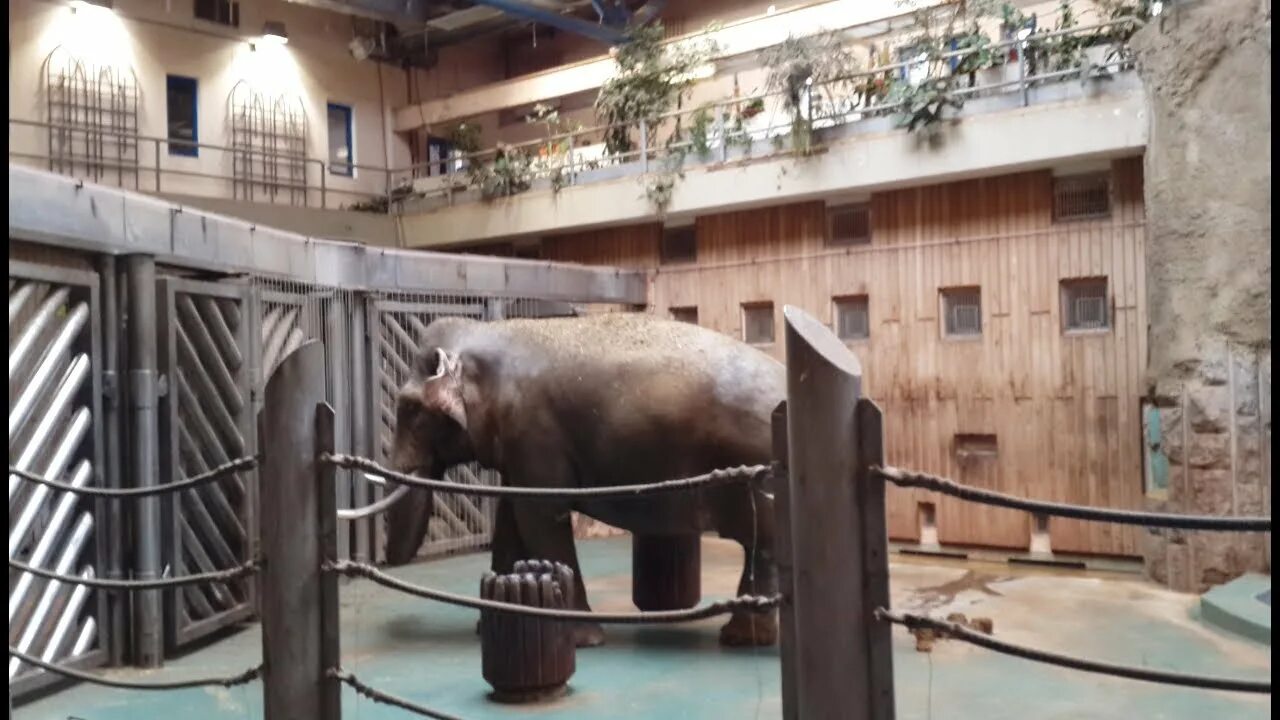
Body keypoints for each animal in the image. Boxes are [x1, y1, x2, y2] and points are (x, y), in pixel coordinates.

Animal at [381, 311, 778, 648]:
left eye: (410, 408)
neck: (488, 331)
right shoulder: (519, 446)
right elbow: (511, 519)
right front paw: (490, 625)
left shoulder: (534, 432)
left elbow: (540, 517)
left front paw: (581, 640)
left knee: (762, 542)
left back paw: (741, 639)